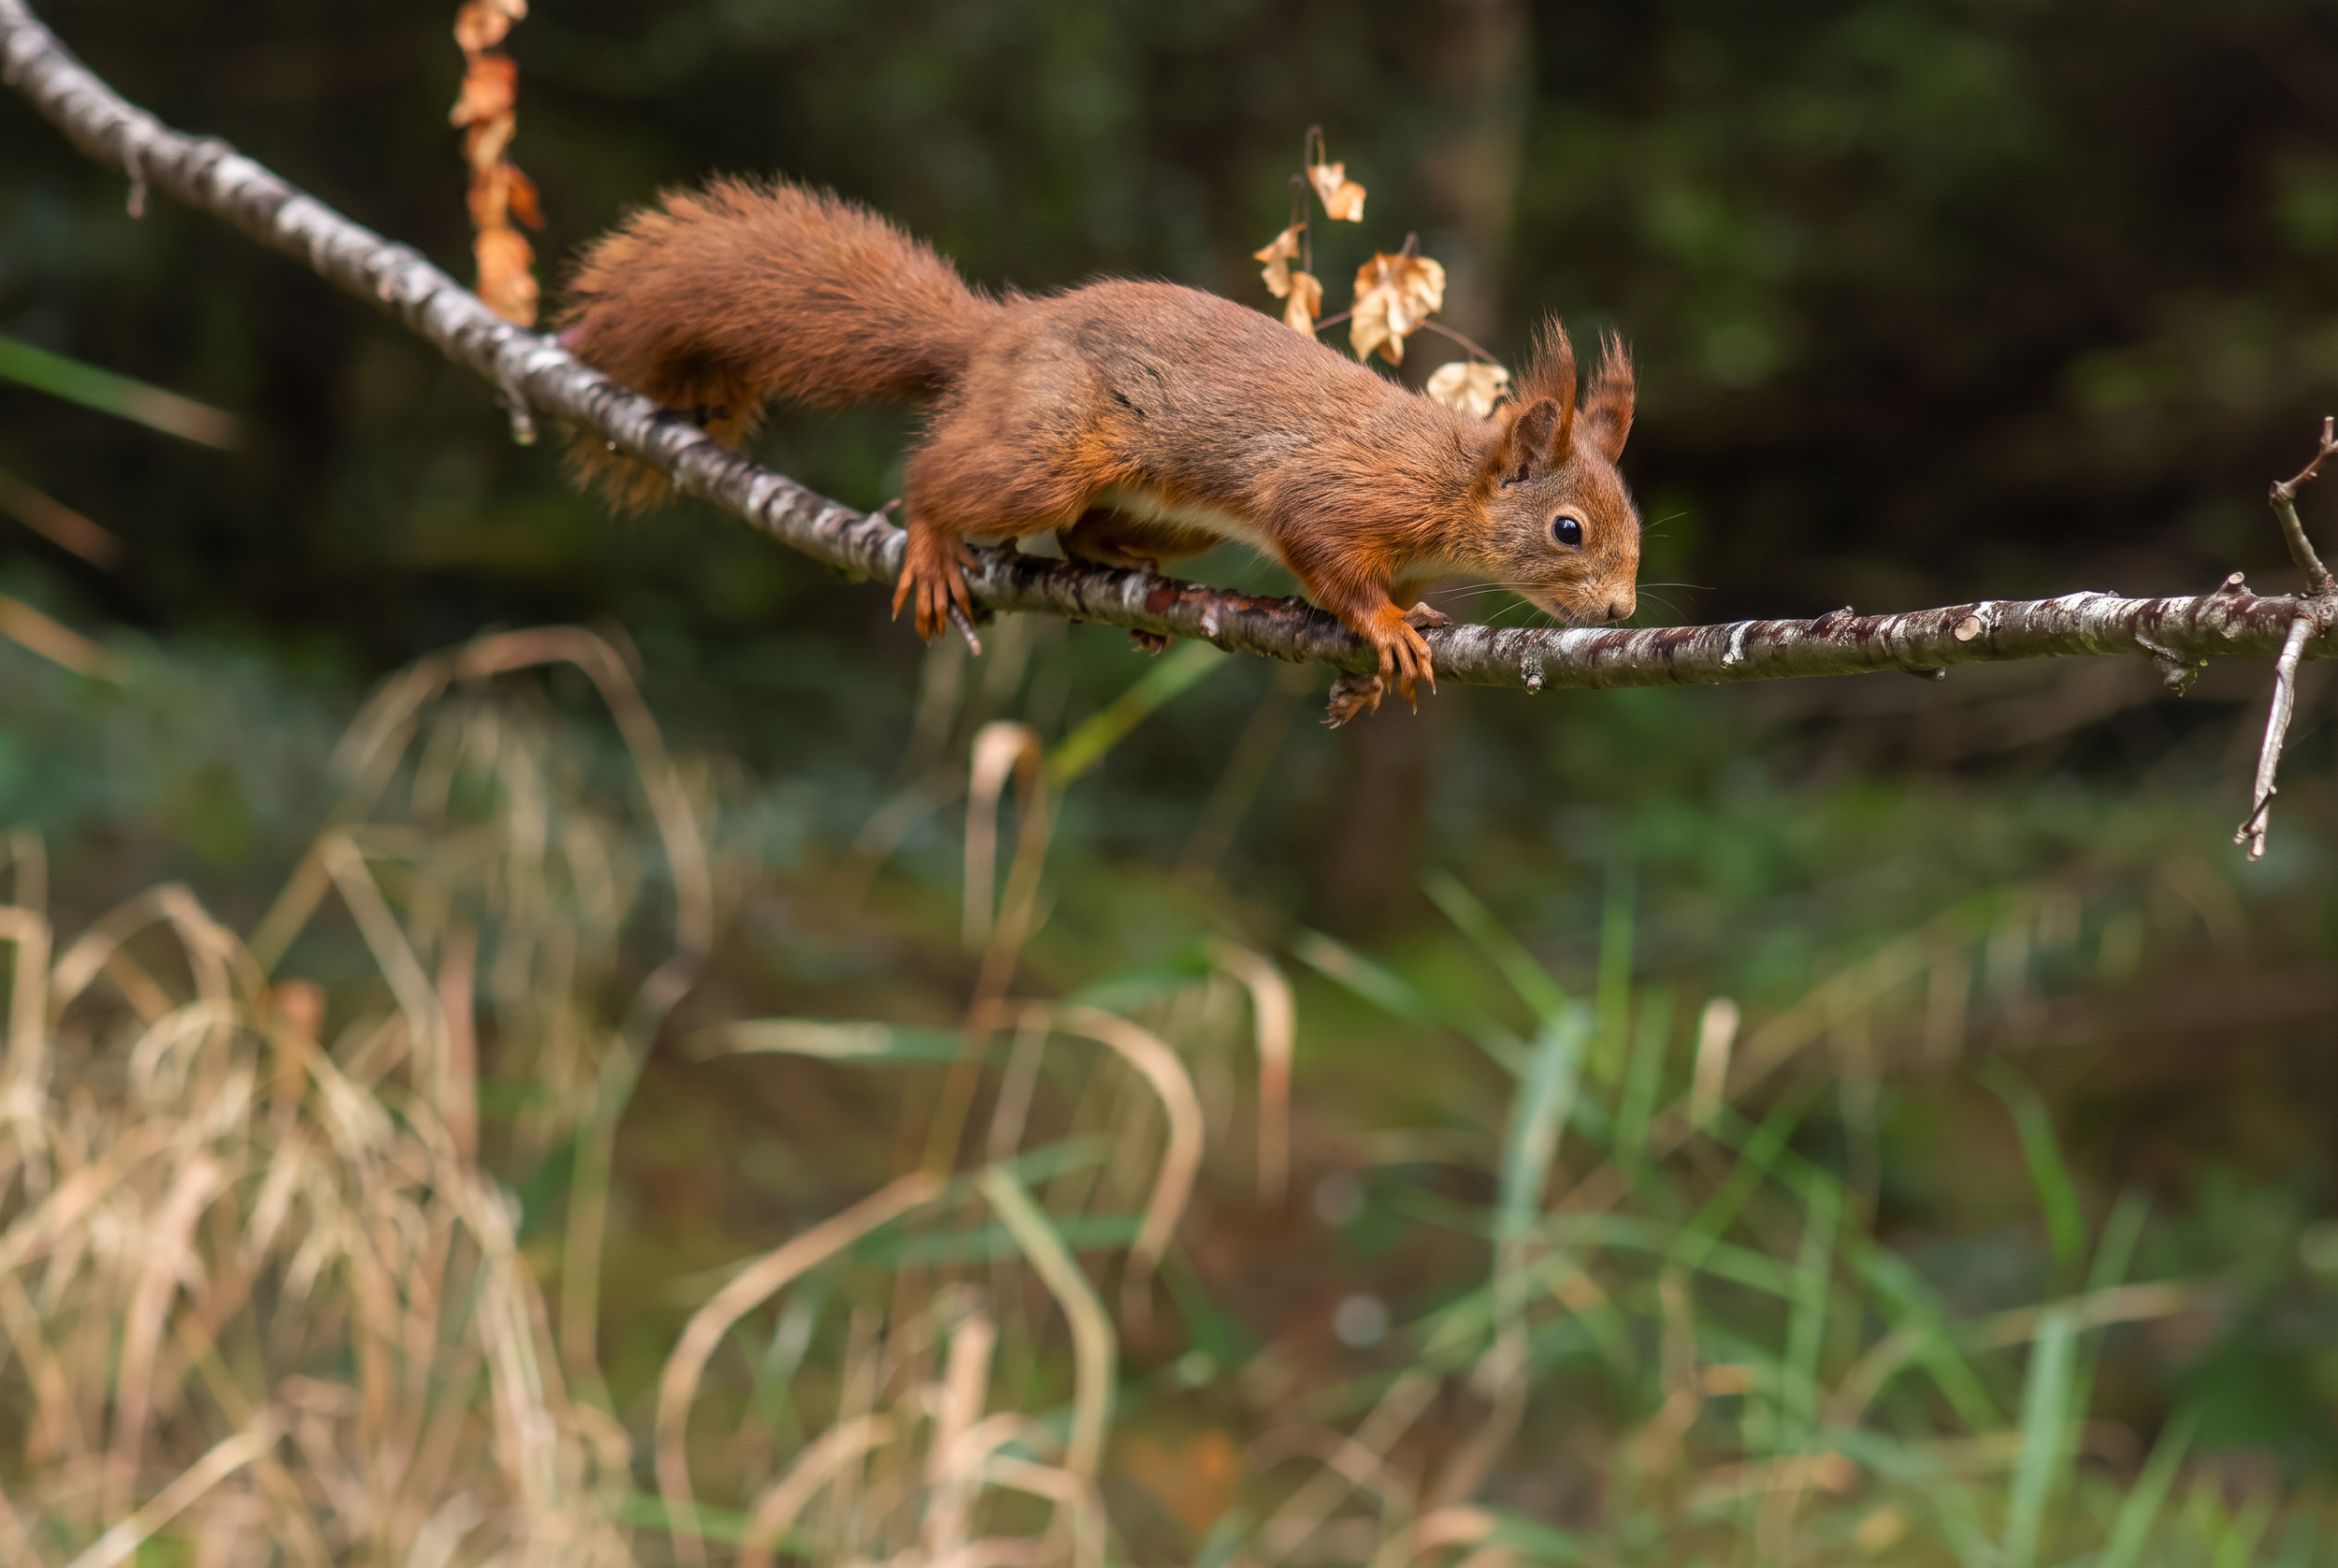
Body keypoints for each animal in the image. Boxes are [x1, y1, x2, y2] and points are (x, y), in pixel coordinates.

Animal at [558, 177, 1641, 707]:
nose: (1624, 613)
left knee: (1082, 536)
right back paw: (934, 542)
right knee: (940, 474)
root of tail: (1000, 336)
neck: (1449, 486)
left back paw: (1130, 574)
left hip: (1177, 516)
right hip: (1041, 454)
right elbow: (1325, 555)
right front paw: (1381, 629)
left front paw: (1376, 670)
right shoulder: (1338, 492)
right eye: (1569, 530)